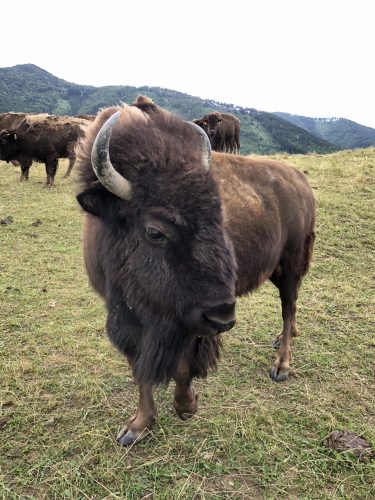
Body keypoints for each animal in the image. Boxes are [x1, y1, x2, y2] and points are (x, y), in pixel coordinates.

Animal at [77, 94, 318, 446]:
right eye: (155, 231)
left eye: (219, 216)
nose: (224, 316)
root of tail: (300, 181)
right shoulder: (128, 317)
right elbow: (140, 368)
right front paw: (136, 427)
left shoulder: (189, 322)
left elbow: (182, 366)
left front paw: (186, 406)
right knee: (292, 308)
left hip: (290, 264)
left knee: (288, 308)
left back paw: (281, 365)